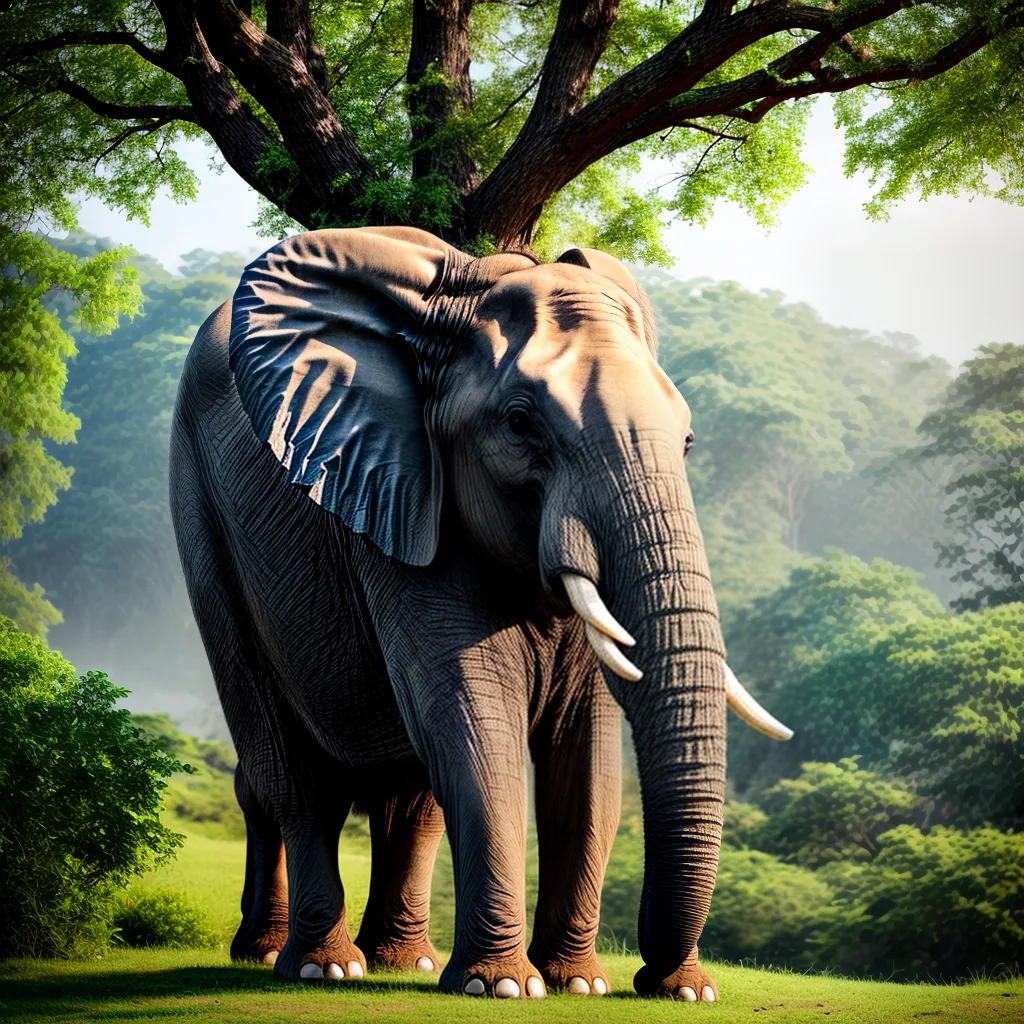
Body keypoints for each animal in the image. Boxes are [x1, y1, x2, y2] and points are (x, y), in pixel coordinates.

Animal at [169, 226, 791, 1001]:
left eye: (686, 441)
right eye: (521, 424)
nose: (659, 980)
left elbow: (588, 756)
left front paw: (583, 985)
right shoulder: (404, 500)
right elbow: (474, 717)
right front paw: (503, 987)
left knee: (410, 797)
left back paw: (400, 962)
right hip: (202, 517)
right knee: (291, 770)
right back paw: (318, 964)